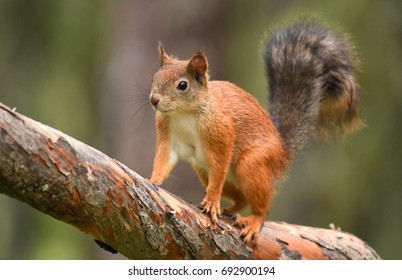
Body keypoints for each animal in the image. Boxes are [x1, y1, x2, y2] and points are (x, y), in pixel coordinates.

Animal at [148, 19, 362, 244]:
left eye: (183, 85)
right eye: (154, 78)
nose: (154, 100)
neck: (184, 113)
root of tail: (282, 153)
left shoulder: (221, 133)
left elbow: (219, 170)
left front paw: (212, 201)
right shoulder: (167, 135)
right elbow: (164, 160)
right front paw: (152, 181)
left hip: (251, 166)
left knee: (261, 207)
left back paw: (252, 221)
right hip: (202, 169)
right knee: (241, 198)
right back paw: (230, 209)